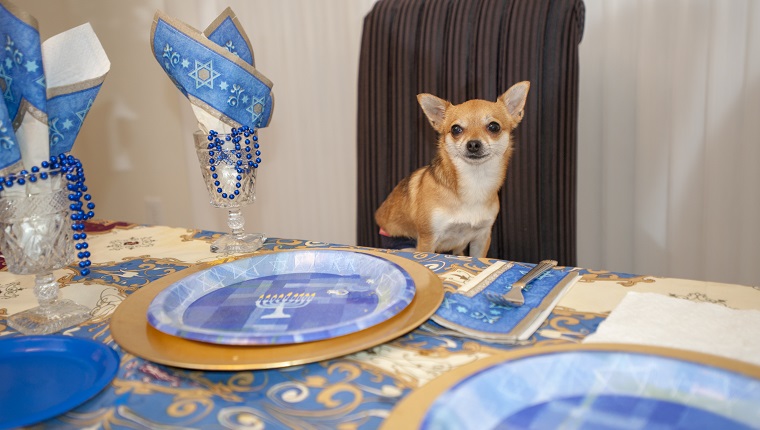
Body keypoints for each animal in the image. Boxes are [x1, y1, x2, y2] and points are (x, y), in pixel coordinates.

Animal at [378, 82, 532, 258]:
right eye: (456, 129)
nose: (473, 144)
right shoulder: (427, 240)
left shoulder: (482, 237)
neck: (475, 181)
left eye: (494, 127)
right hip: (406, 247)